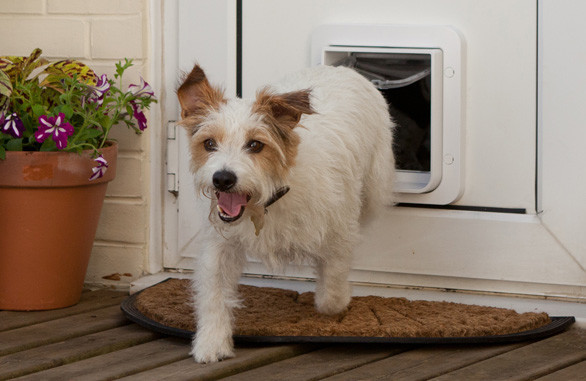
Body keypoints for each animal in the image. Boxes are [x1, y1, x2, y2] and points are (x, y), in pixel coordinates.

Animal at [173, 63, 392, 362]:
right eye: (208, 144)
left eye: (255, 145)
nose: (222, 179)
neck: (265, 202)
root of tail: (339, 67)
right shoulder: (220, 246)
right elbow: (213, 293)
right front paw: (211, 342)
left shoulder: (338, 235)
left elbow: (331, 292)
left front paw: (339, 299)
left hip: (376, 186)